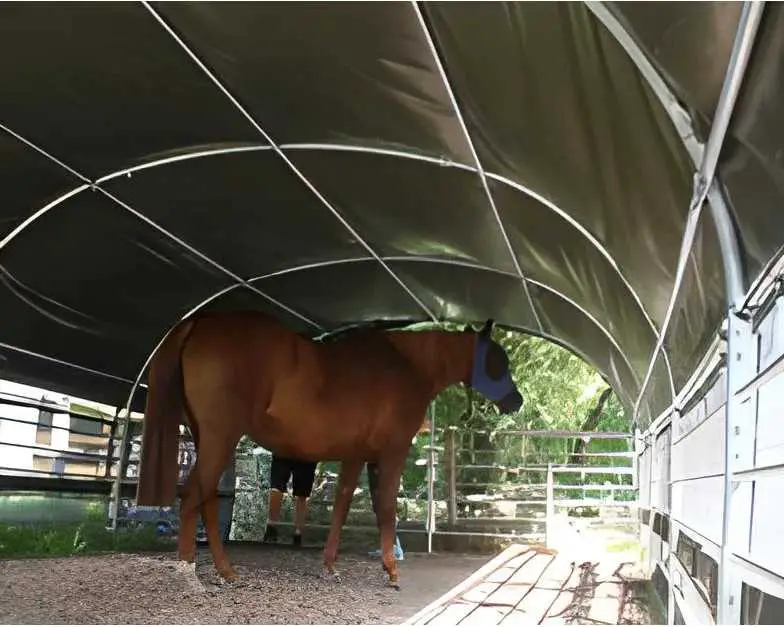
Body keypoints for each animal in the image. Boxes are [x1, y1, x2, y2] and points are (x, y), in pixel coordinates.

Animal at [138, 312, 524, 588]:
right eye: (497, 360)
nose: (516, 401)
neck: (406, 365)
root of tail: (201, 321)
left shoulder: (355, 455)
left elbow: (341, 505)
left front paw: (330, 566)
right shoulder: (392, 453)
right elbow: (386, 507)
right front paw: (391, 571)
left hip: (210, 439)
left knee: (205, 500)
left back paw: (224, 571)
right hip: (221, 436)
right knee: (192, 496)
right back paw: (190, 572)